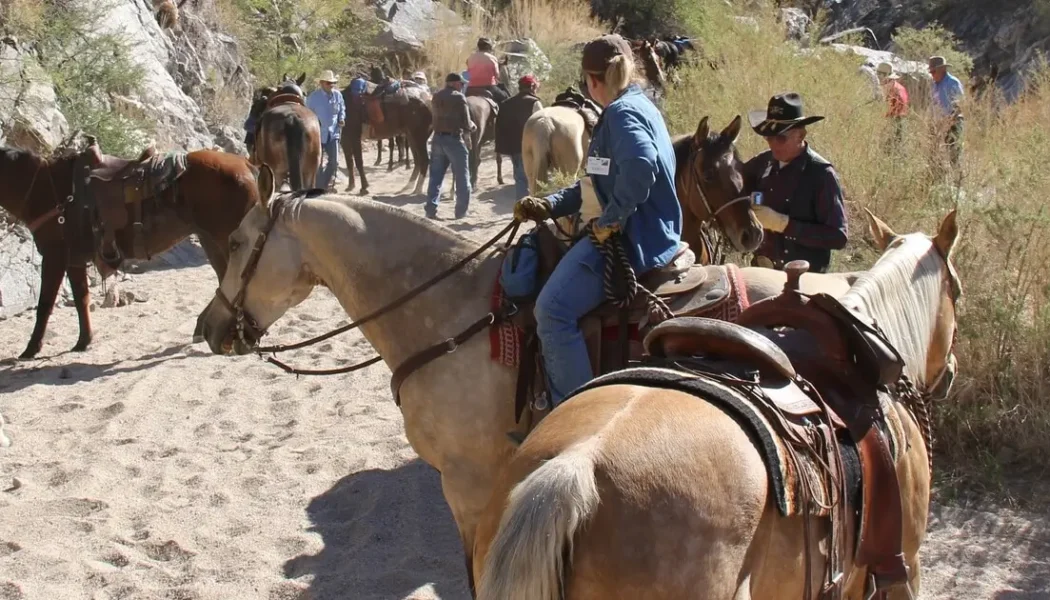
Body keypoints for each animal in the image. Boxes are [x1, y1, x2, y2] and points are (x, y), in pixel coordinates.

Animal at [0, 138, 260, 359]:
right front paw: (84, 341)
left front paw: (31, 349)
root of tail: (247, 166)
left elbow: (44, 304)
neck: (44, 188)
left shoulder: (54, 257)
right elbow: (81, 299)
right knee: (224, 281)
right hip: (210, 240)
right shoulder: (74, 260)